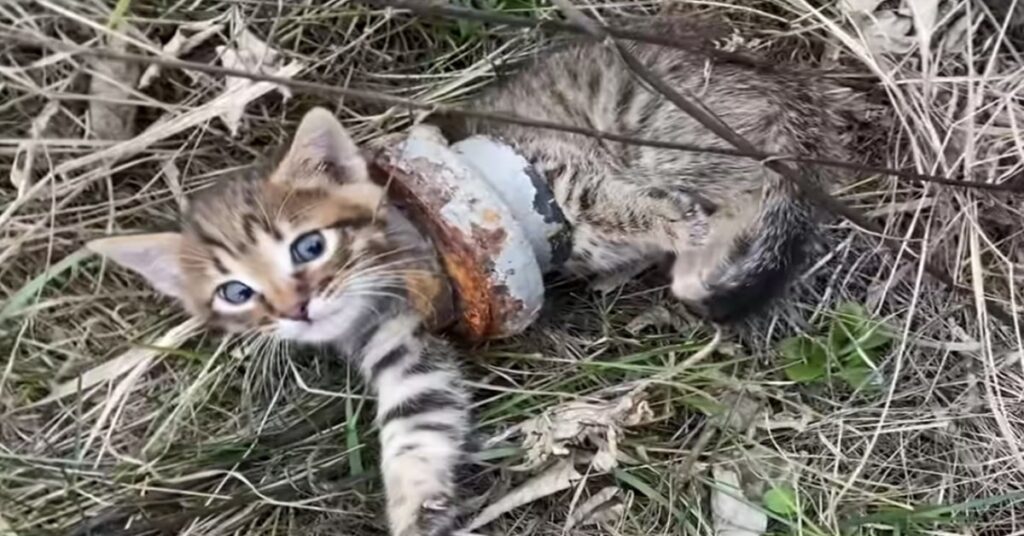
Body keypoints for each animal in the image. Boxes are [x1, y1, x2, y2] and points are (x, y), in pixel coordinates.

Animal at [88, 109, 471, 536]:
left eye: (310, 247)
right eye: (236, 292)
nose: (295, 310)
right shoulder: (390, 337)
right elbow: (418, 404)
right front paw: (417, 497)